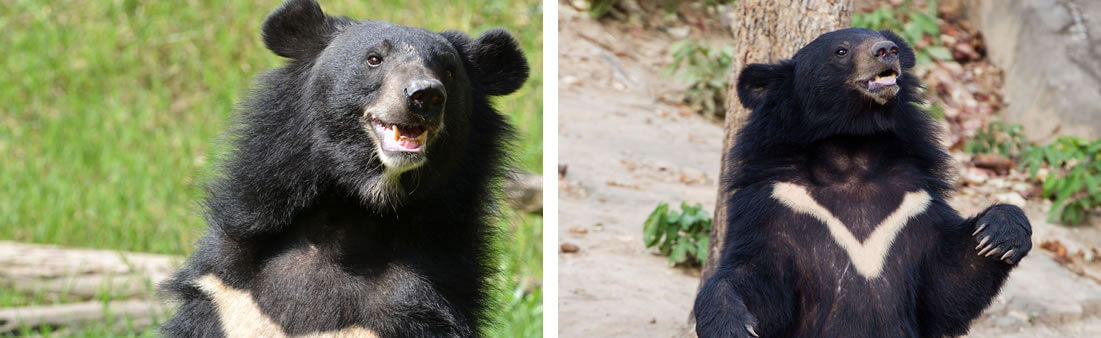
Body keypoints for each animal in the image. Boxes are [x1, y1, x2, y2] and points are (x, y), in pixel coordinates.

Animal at [159, 0, 528, 338]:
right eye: (374, 59)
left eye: (448, 70)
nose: (425, 96)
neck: (350, 213)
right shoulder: (226, 295)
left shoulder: (417, 305)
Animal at [695, 27, 1030, 336]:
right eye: (841, 51)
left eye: (886, 43)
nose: (887, 50)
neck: (852, 152)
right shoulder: (776, 204)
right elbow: (754, 276)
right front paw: (730, 325)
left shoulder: (914, 202)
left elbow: (947, 286)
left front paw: (999, 233)